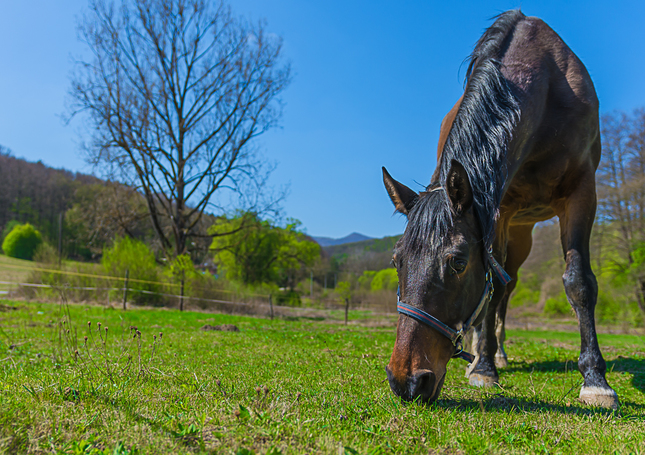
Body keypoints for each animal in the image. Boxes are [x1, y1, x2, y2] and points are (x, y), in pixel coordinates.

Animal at [380, 9, 616, 410]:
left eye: (458, 263)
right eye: (397, 261)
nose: (405, 380)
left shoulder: (582, 191)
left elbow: (579, 281)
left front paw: (595, 379)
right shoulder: (498, 208)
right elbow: (493, 287)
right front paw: (484, 367)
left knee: (509, 285)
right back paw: (481, 353)